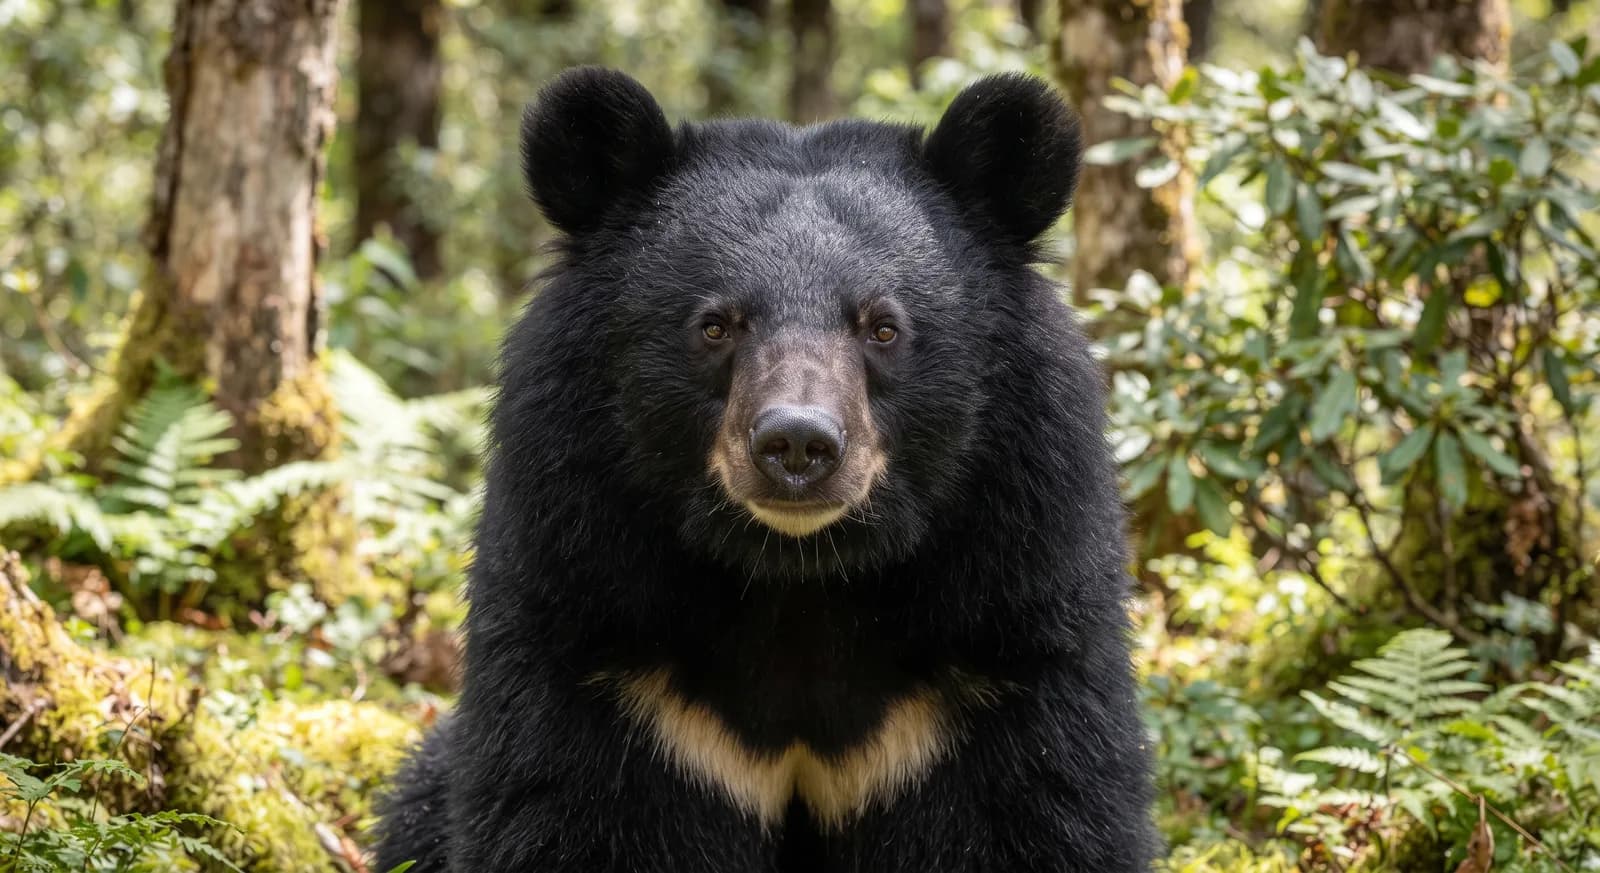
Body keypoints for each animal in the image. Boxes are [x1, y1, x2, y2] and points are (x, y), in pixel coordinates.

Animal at [373, 67, 1158, 873]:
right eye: (715, 325)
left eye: (883, 327)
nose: (798, 445)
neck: (797, 576)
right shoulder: (587, 605)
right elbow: (563, 805)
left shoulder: (1011, 605)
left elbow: (1036, 806)